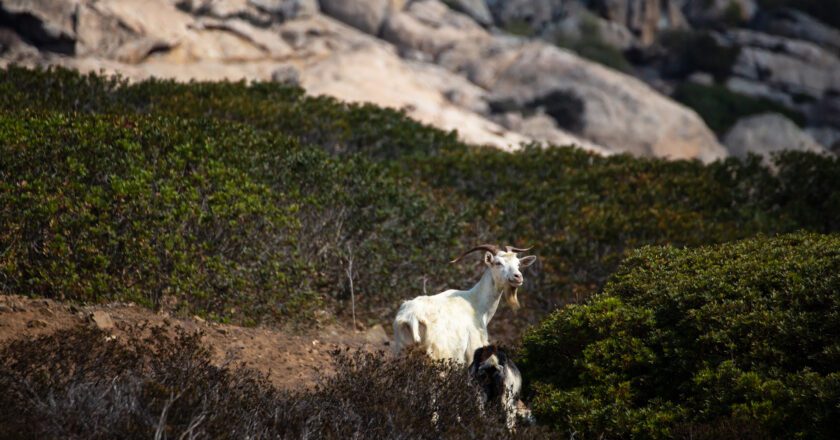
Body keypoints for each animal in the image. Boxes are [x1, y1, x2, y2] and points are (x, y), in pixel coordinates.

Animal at [394, 244, 540, 364]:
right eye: (498, 263)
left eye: (518, 264)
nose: (518, 277)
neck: (476, 304)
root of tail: (412, 317)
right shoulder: (473, 350)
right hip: (440, 356)